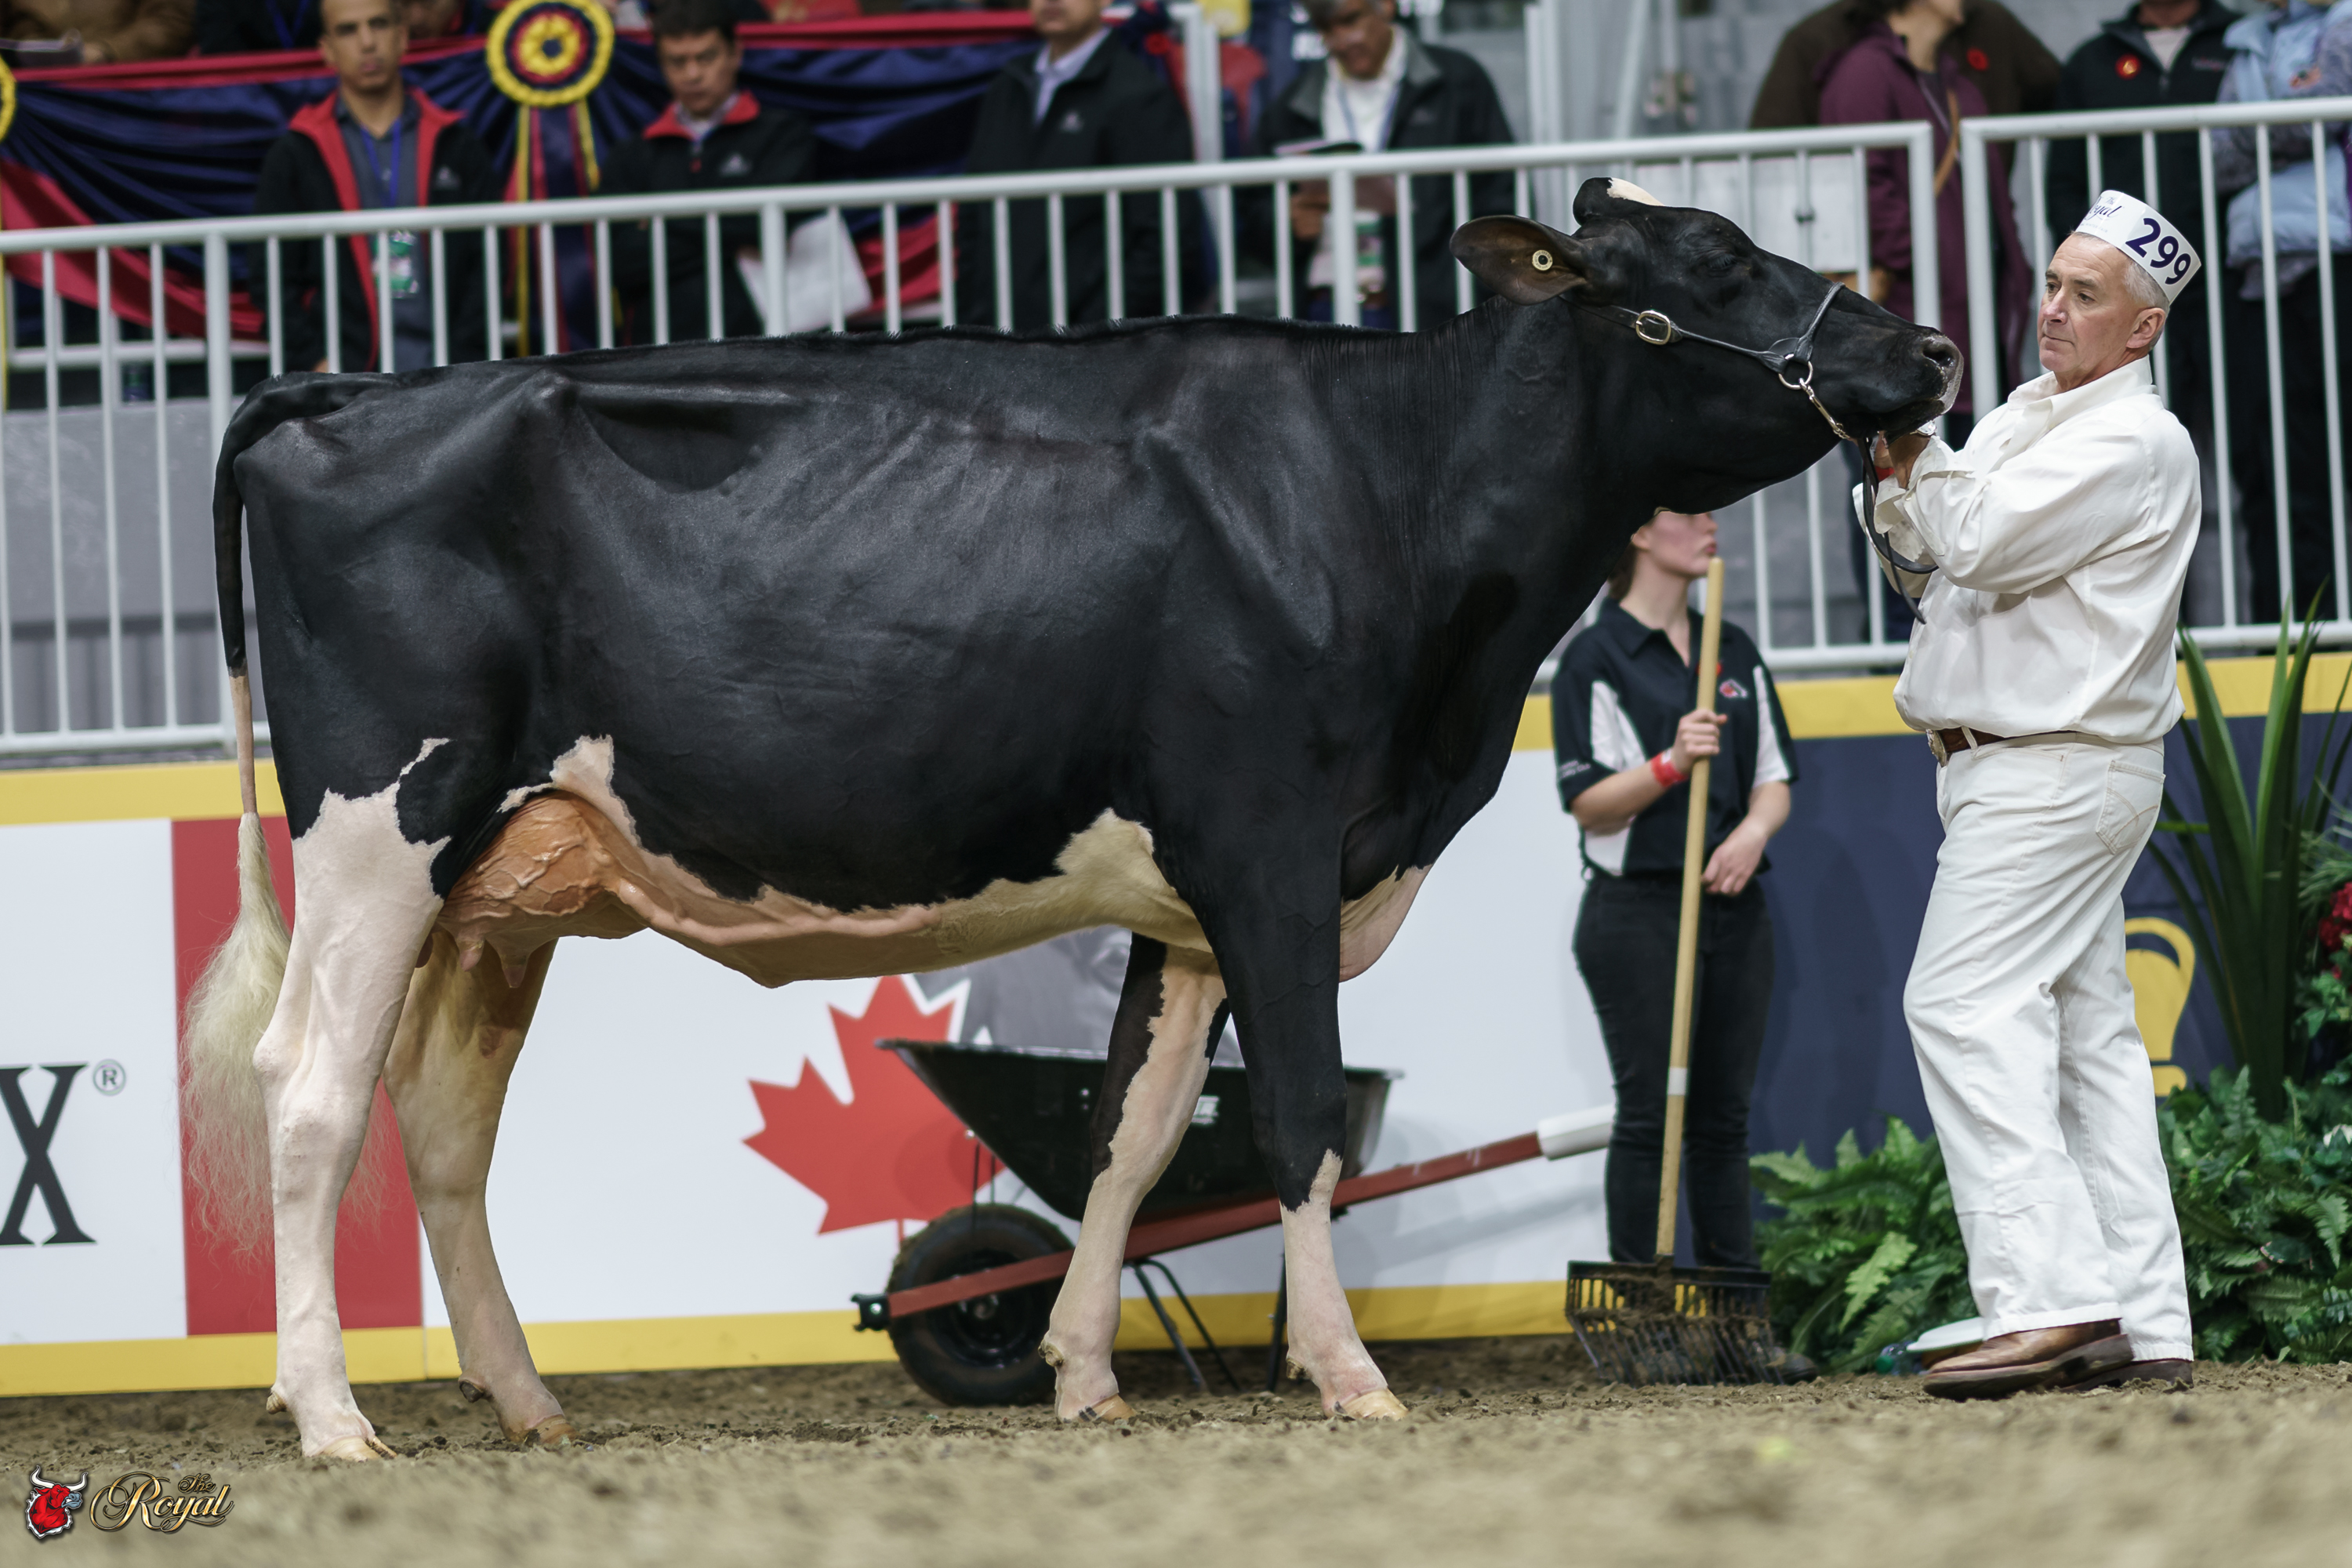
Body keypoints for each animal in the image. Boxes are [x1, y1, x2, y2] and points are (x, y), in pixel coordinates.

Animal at [186, 177, 1958, 1460]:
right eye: (1717, 258)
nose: (1936, 350)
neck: (1390, 492)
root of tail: (336, 395)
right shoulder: (1272, 845)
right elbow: (1301, 1117)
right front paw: (1348, 1373)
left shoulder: (1186, 900)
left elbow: (1136, 1134)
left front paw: (1083, 1370)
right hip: (380, 829)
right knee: (310, 1092)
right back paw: (331, 1417)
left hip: (508, 880)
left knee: (441, 1123)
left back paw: (528, 1401)